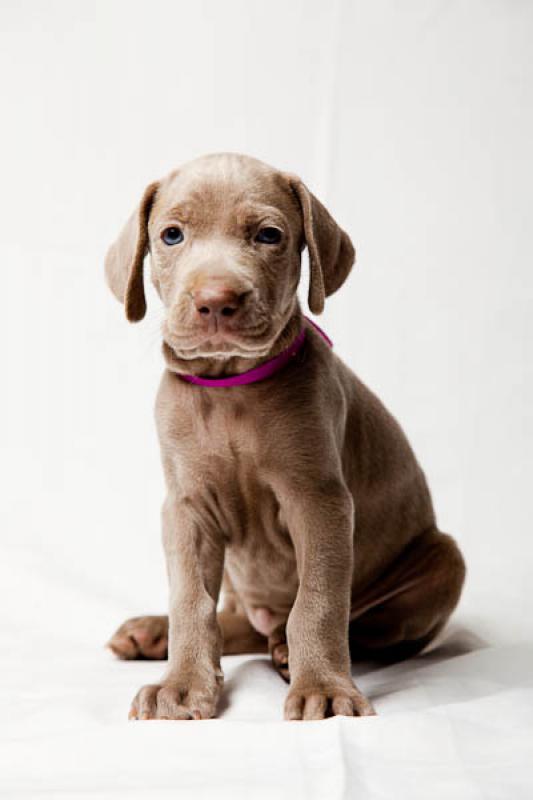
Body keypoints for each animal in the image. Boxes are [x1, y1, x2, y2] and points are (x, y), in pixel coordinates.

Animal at [106, 153, 464, 720]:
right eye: (171, 235)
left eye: (269, 235)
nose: (216, 300)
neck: (230, 388)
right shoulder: (186, 507)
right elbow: (190, 599)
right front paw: (181, 684)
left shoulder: (318, 500)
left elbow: (317, 602)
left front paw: (324, 687)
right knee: (240, 621)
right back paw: (154, 631)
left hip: (445, 561)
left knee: (352, 627)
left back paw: (285, 654)